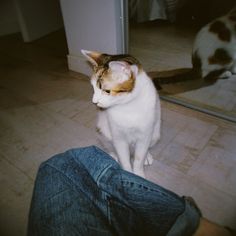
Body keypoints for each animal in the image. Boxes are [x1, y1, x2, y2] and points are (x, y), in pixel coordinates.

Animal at [81, 49, 160, 177]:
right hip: (103, 131)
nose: (94, 101)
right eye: (93, 88)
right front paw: (127, 173)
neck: (127, 106)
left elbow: (139, 158)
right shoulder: (118, 137)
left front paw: (139, 174)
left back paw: (147, 155)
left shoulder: (145, 134)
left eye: (107, 91)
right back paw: (112, 155)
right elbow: (124, 158)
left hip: (155, 134)